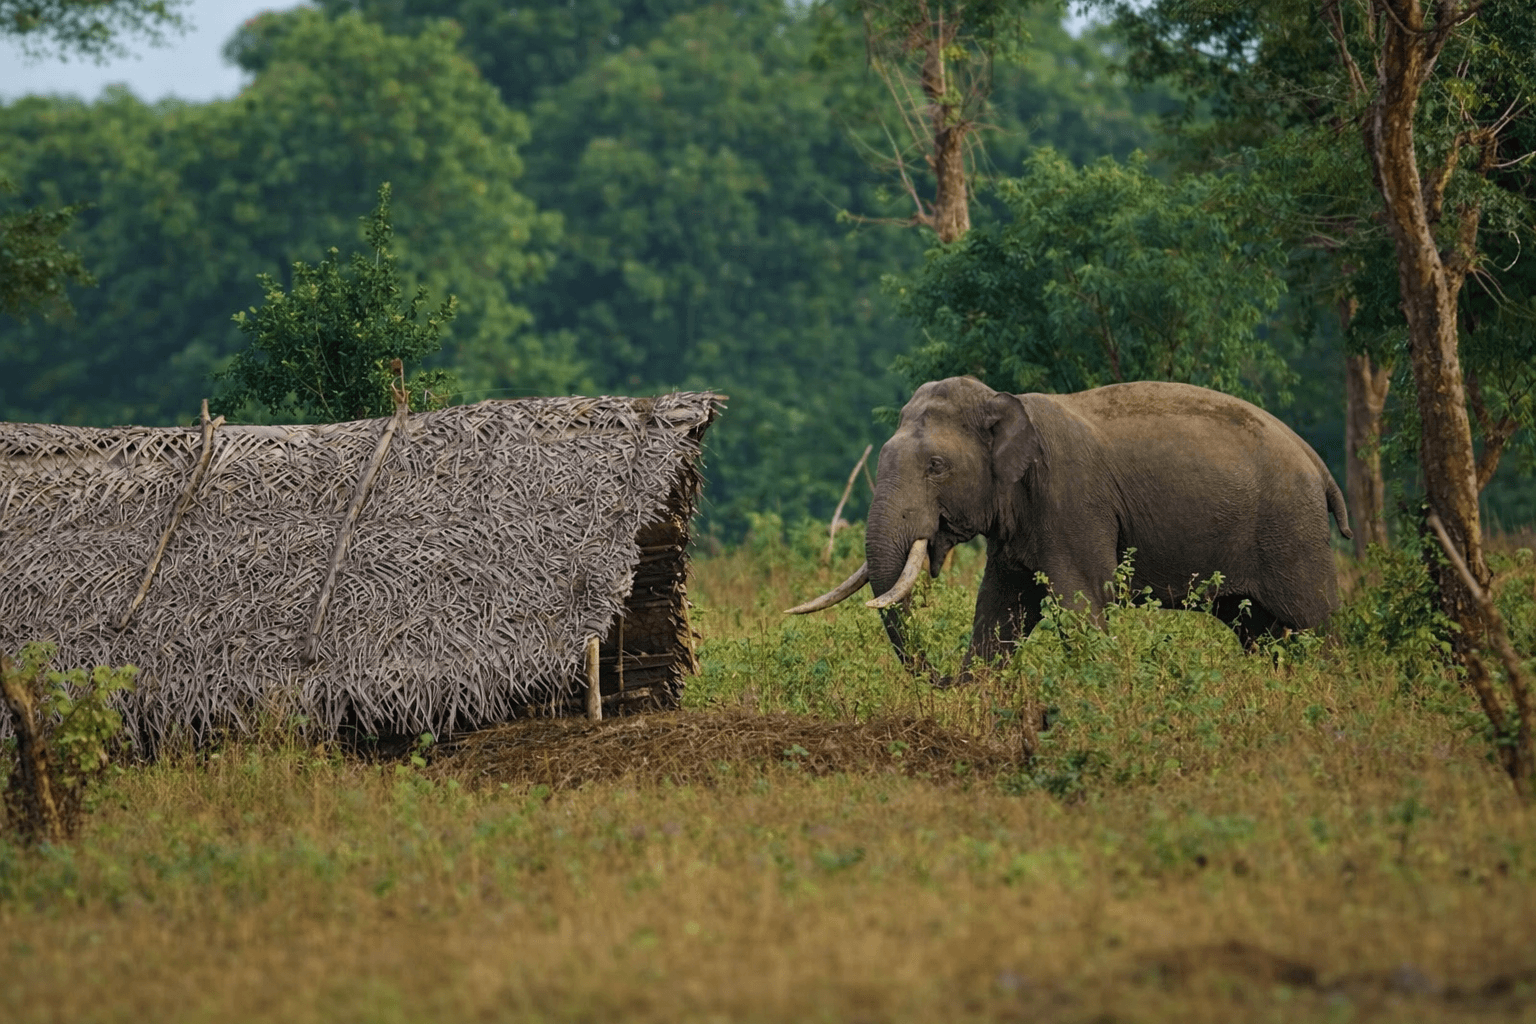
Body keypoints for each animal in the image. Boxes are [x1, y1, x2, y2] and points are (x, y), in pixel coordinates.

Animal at [788, 376, 1351, 677]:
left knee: (1315, 621)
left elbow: (1080, 605)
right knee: (1257, 629)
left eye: (936, 467)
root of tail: (1318, 463)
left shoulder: (1072, 502)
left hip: (1291, 532)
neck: (1004, 399)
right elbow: (1001, 610)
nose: (942, 679)